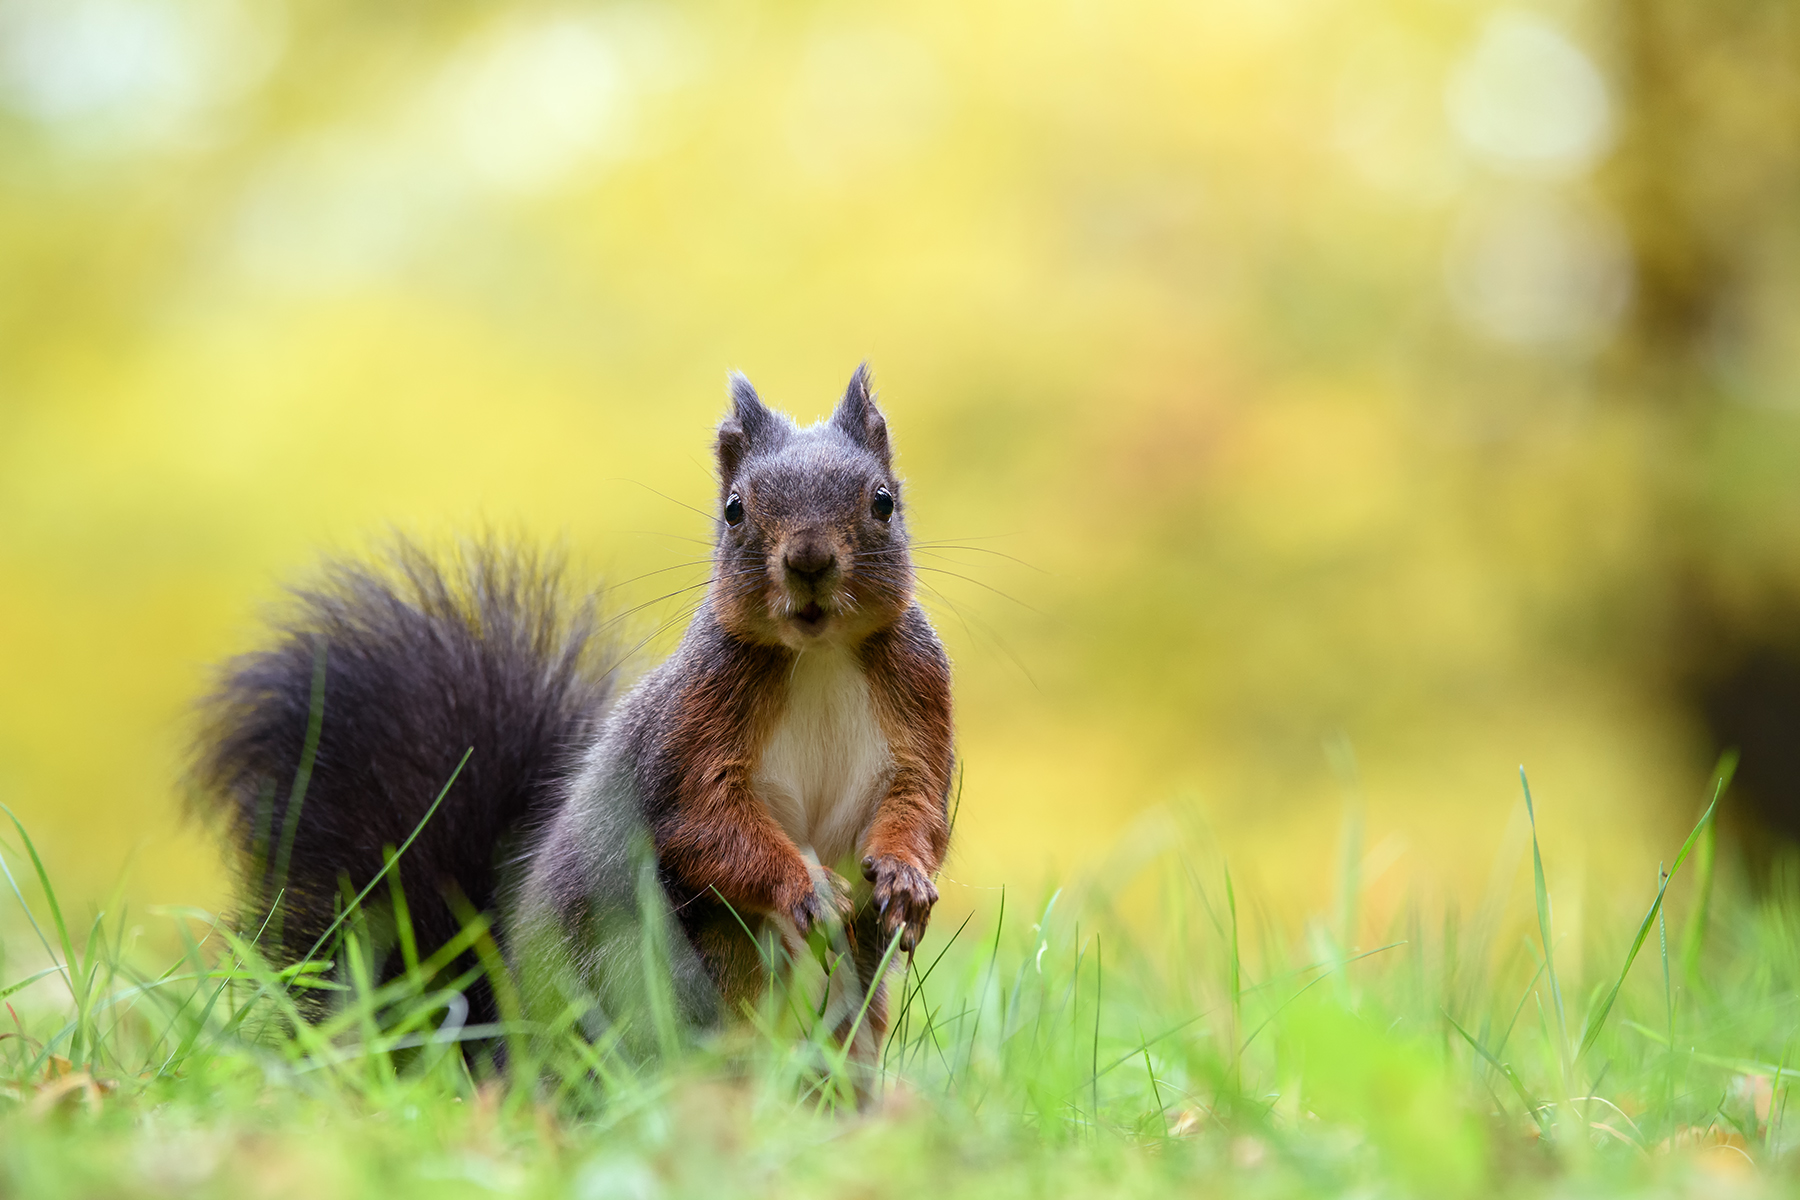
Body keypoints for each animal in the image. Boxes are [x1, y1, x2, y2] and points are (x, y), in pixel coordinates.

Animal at [193, 363, 957, 1057]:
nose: (808, 561)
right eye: (734, 509)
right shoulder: (692, 729)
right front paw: (809, 891)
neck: (819, 654)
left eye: (883, 501)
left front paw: (907, 878)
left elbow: (917, 804)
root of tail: (500, 1053)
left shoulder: (922, 701)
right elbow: (706, 824)